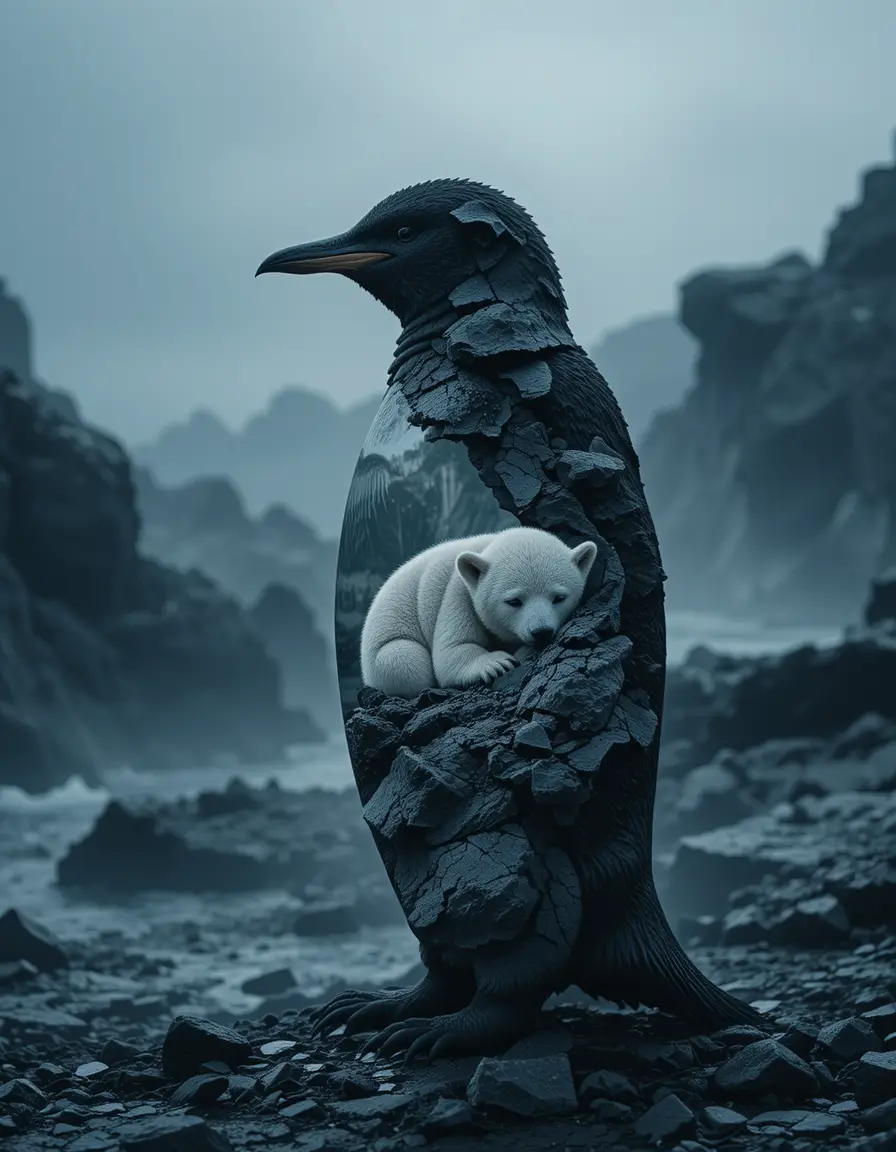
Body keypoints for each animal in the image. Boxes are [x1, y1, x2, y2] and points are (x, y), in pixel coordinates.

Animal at [360, 526, 599, 699]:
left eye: (559, 597)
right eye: (514, 601)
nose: (541, 632)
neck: (486, 549)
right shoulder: (458, 592)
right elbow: (452, 649)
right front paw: (497, 662)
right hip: (381, 648)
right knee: (405, 659)